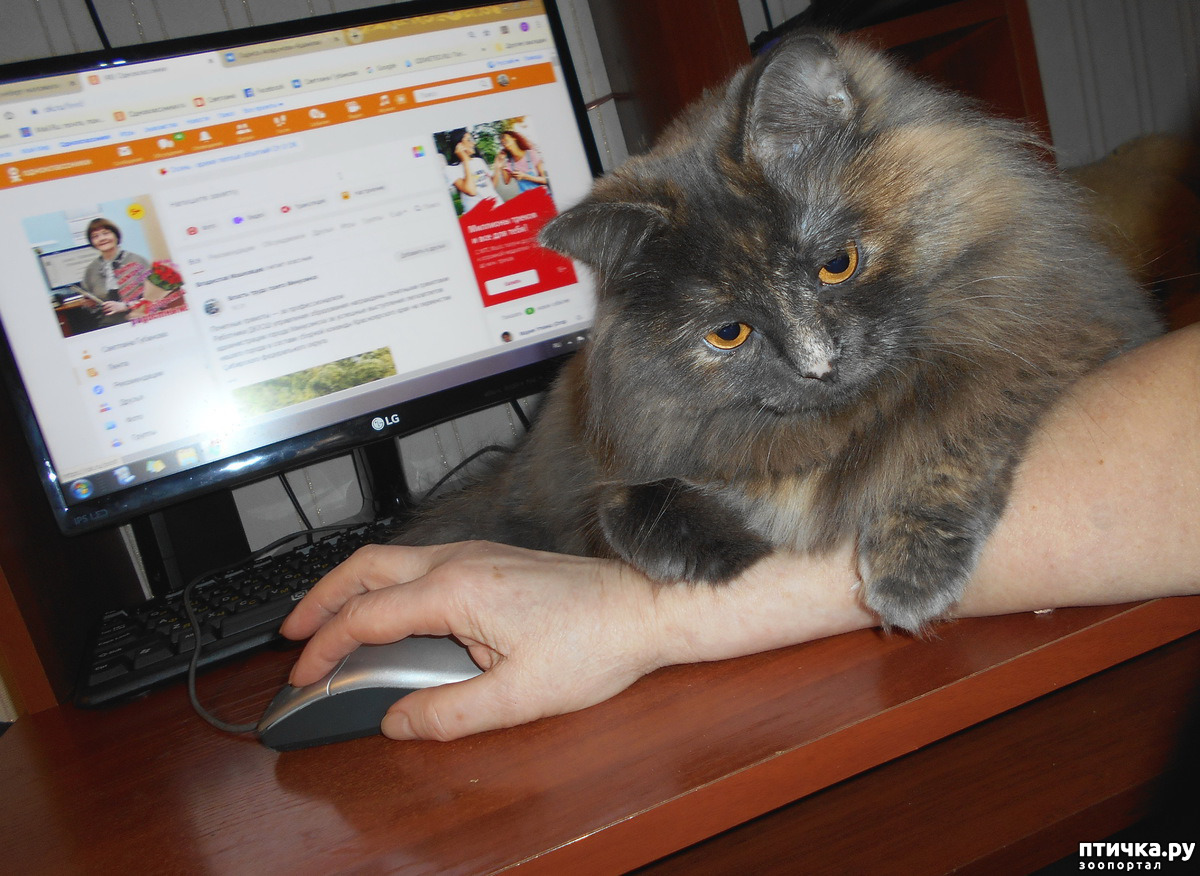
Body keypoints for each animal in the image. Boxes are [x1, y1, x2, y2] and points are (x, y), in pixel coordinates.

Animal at [394, 33, 1163, 632]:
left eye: (837, 264)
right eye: (729, 333)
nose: (819, 365)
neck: (844, 425)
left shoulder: (1054, 333)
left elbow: (950, 428)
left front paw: (907, 573)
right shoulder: (626, 464)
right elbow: (622, 505)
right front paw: (716, 550)